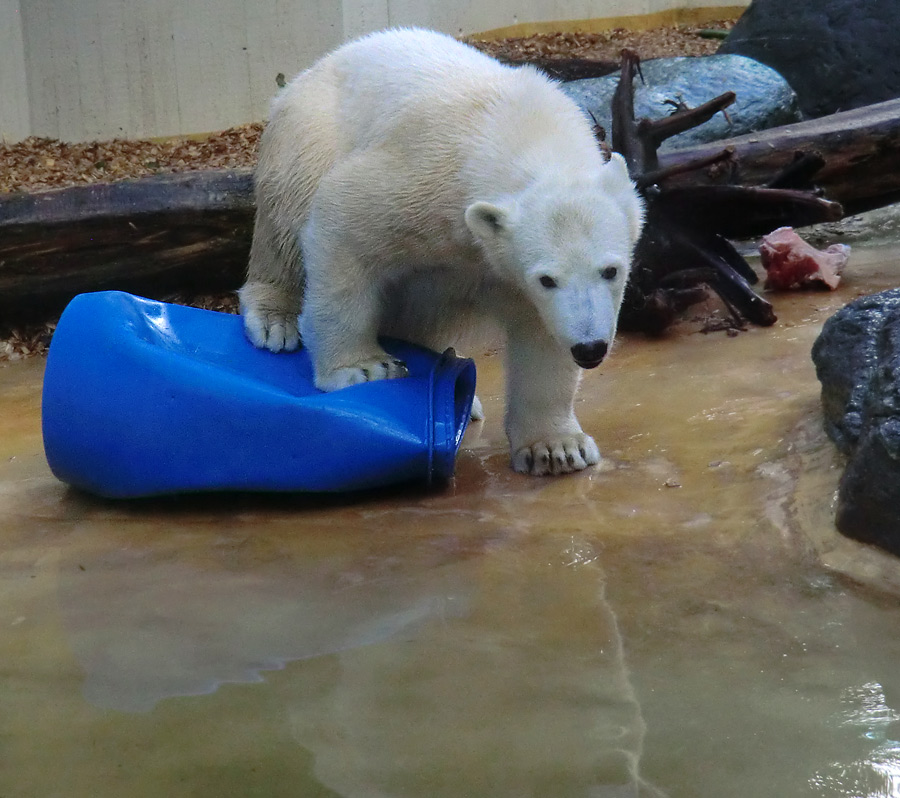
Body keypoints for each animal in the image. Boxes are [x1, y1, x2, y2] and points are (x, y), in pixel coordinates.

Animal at [239, 28, 644, 478]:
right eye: (547, 278)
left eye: (611, 270)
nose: (590, 349)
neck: (521, 127)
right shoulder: (424, 179)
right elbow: (341, 218)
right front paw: (362, 368)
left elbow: (542, 334)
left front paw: (556, 448)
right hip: (308, 132)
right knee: (288, 214)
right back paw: (276, 321)